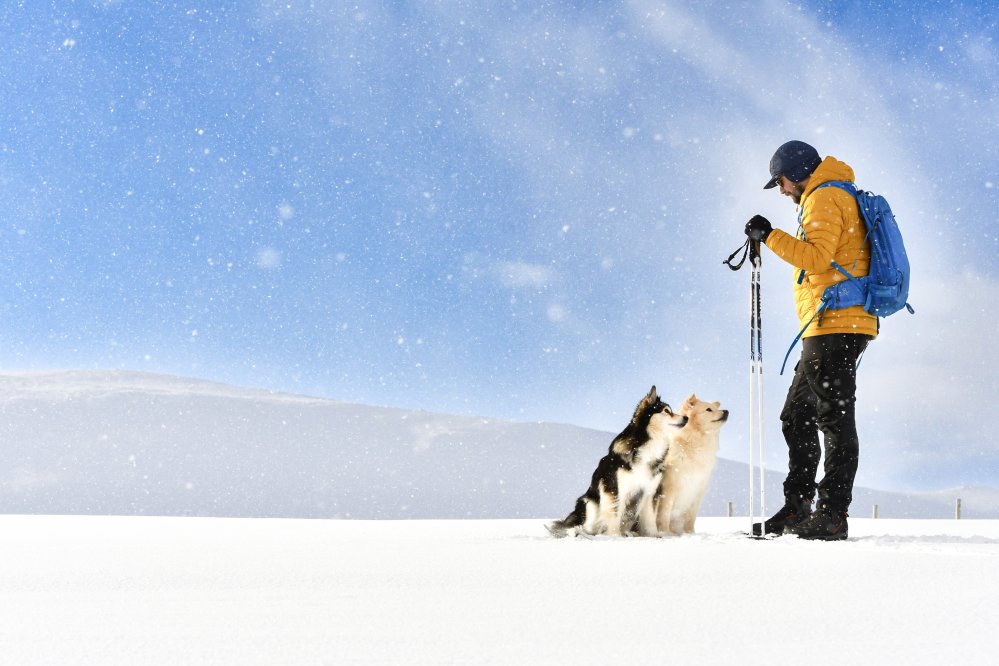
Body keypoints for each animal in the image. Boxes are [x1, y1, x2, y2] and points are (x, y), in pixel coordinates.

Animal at [548, 386, 688, 536]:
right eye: (666, 411)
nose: (686, 418)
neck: (647, 445)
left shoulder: (650, 491)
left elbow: (650, 518)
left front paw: (654, 535)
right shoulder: (615, 489)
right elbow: (615, 515)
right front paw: (615, 536)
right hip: (589, 504)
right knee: (586, 526)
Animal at [656, 394, 728, 536]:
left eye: (716, 408)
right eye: (708, 409)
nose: (726, 411)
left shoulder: (698, 490)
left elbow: (690, 517)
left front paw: (690, 533)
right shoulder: (669, 488)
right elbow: (665, 514)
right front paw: (666, 533)